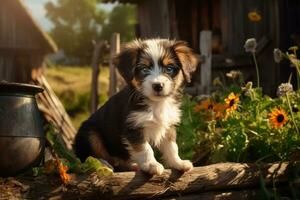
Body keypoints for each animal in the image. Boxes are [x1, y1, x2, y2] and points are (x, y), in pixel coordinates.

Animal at [74, 38, 198, 174]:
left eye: (169, 68)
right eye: (144, 69)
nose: (158, 86)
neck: (156, 103)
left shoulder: (168, 126)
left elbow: (172, 147)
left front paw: (178, 163)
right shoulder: (133, 128)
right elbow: (145, 148)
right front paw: (151, 165)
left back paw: (132, 165)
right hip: (90, 134)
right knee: (86, 158)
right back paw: (104, 164)